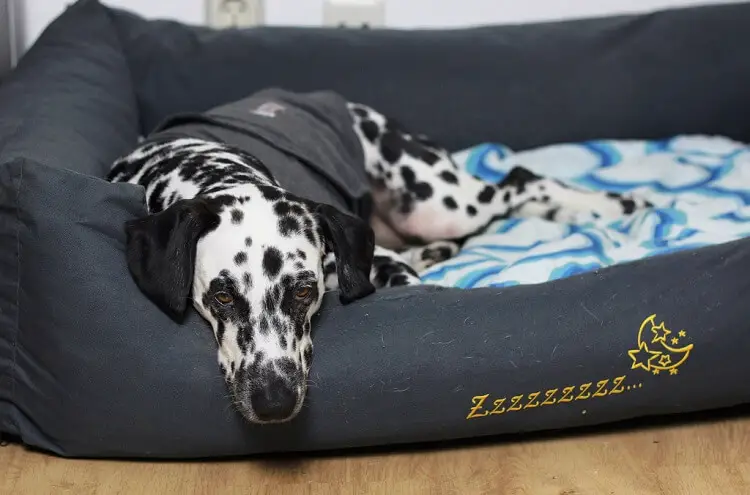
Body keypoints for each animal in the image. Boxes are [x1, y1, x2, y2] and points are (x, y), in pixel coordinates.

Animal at [107, 100, 652, 426]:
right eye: (221, 295)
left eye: (303, 291)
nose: (274, 401)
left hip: (438, 200)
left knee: (520, 180)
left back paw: (612, 204)